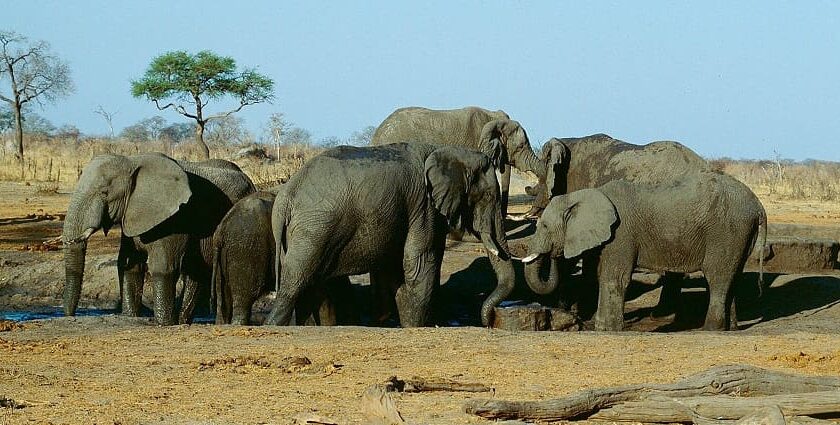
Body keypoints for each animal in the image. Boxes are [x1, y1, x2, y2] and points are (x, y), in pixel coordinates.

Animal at [63, 152, 256, 324]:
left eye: (104, 193)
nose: (69, 315)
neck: (131, 161)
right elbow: (129, 265)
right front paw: (130, 316)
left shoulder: (175, 218)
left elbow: (163, 266)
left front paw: (164, 323)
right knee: (196, 272)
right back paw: (183, 321)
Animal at [268, 143, 520, 328]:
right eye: (489, 197)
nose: (489, 322)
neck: (450, 151)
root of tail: (285, 196)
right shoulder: (425, 206)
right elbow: (420, 265)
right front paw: (418, 328)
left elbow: (398, 271)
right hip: (314, 231)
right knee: (295, 284)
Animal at [516, 171, 764, 332]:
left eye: (544, 226)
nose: (554, 255)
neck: (586, 195)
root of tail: (758, 206)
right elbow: (602, 274)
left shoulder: (621, 234)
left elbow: (614, 278)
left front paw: (606, 329)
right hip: (741, 235)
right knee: (732, 277)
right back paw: (730, 329)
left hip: (726, 231)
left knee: (717, 278)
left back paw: (710, 329)